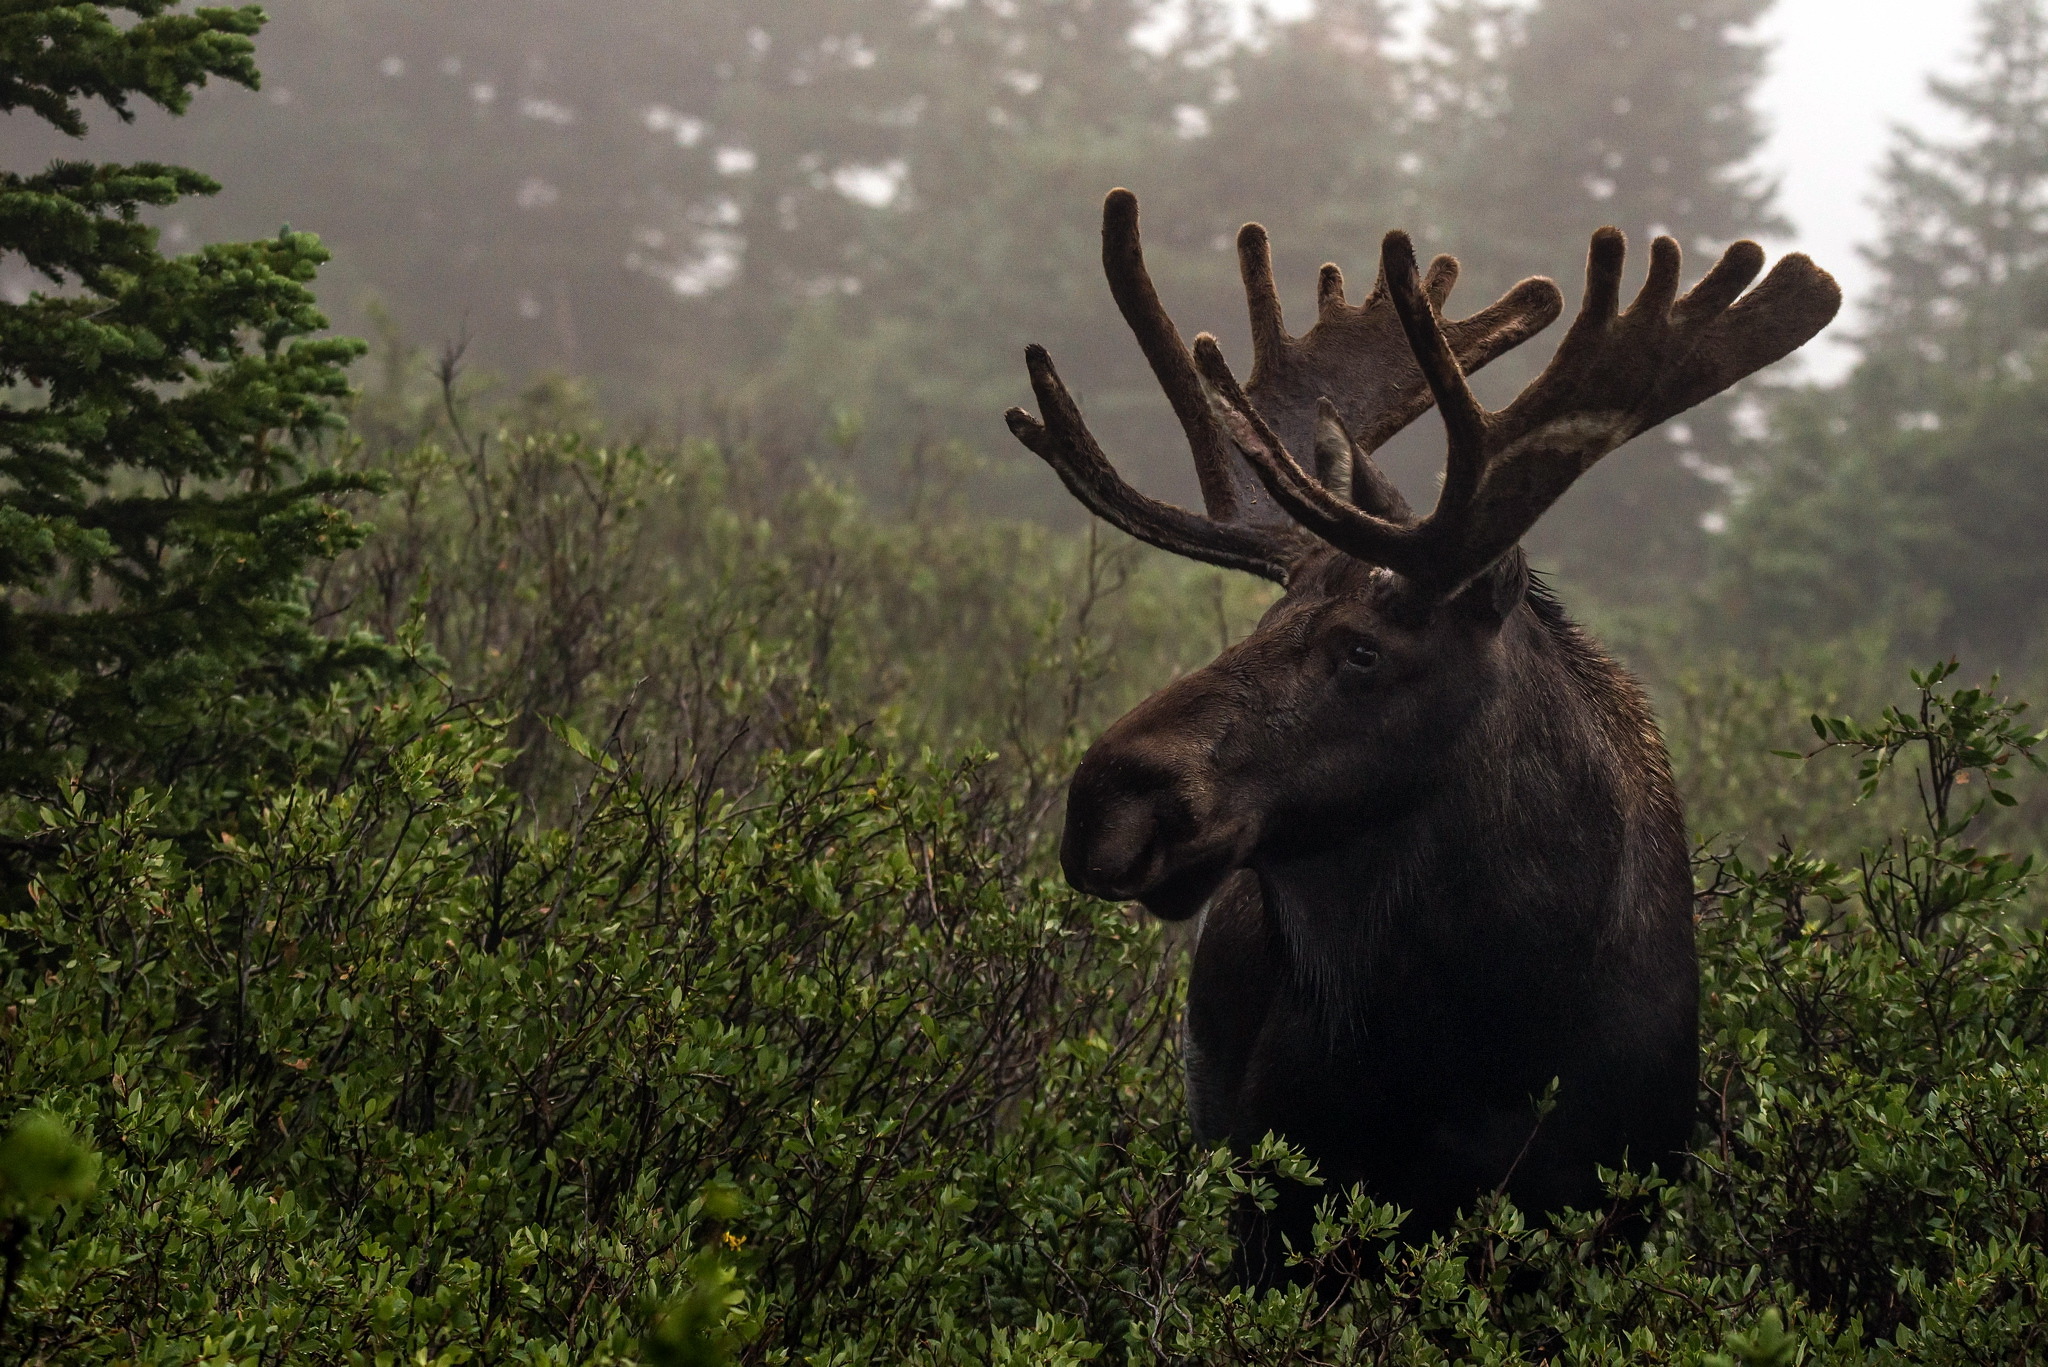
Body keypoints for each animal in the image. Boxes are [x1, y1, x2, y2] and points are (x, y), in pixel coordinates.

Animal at [1005, 189, 1839, 1282]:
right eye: (1259, 623)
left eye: (1362, 650)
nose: (1106, 797)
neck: (1480, 1035)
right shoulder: (1279, 1190)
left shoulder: (1612, 1199)